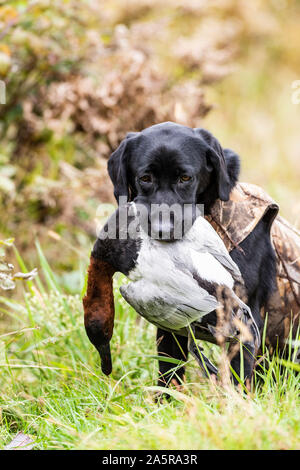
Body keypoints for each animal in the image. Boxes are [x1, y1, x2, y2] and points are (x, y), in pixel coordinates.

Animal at [107, 121, 276, 386]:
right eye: (145, 178)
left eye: (185, 177)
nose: (163, 229)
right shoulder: (172, 318)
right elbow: (169, 370)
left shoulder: (247, 316)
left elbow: (239, 374)